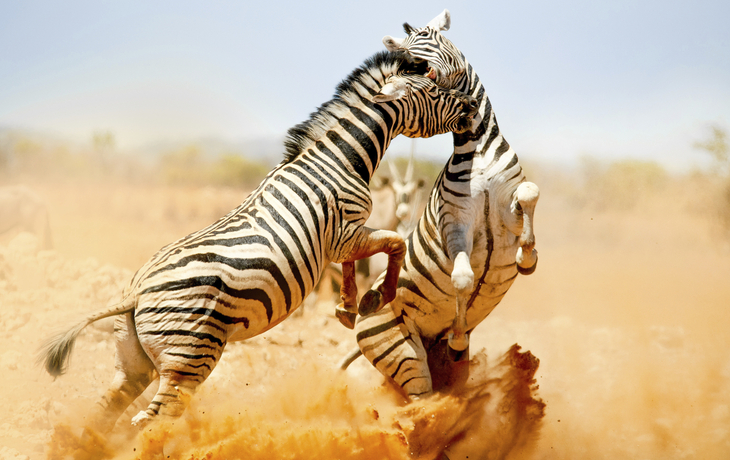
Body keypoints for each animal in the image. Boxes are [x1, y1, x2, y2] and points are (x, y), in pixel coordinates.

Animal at [38, 49, 479, 434]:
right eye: (436, 90)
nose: (473, 108)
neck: (339, 159)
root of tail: (136, 293)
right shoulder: (345, 232)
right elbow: (395, 243)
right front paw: (375, 298)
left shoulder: (343, 238)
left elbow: (363, 260)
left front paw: (348, 306)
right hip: (188, 358)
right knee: (152, 419)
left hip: (133, 363)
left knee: (103, 417)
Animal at [341, 10, 540, 399]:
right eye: (398, 47)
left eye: (427, 38)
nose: (399, 61)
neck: (476, 148)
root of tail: (360, 321)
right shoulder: (454, 220)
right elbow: (462, 277)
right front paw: (459, 336)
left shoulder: (508, 204)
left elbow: (530, 192)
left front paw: (527, 257)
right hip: (401, 353)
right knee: (419, 402)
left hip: (441, 364)